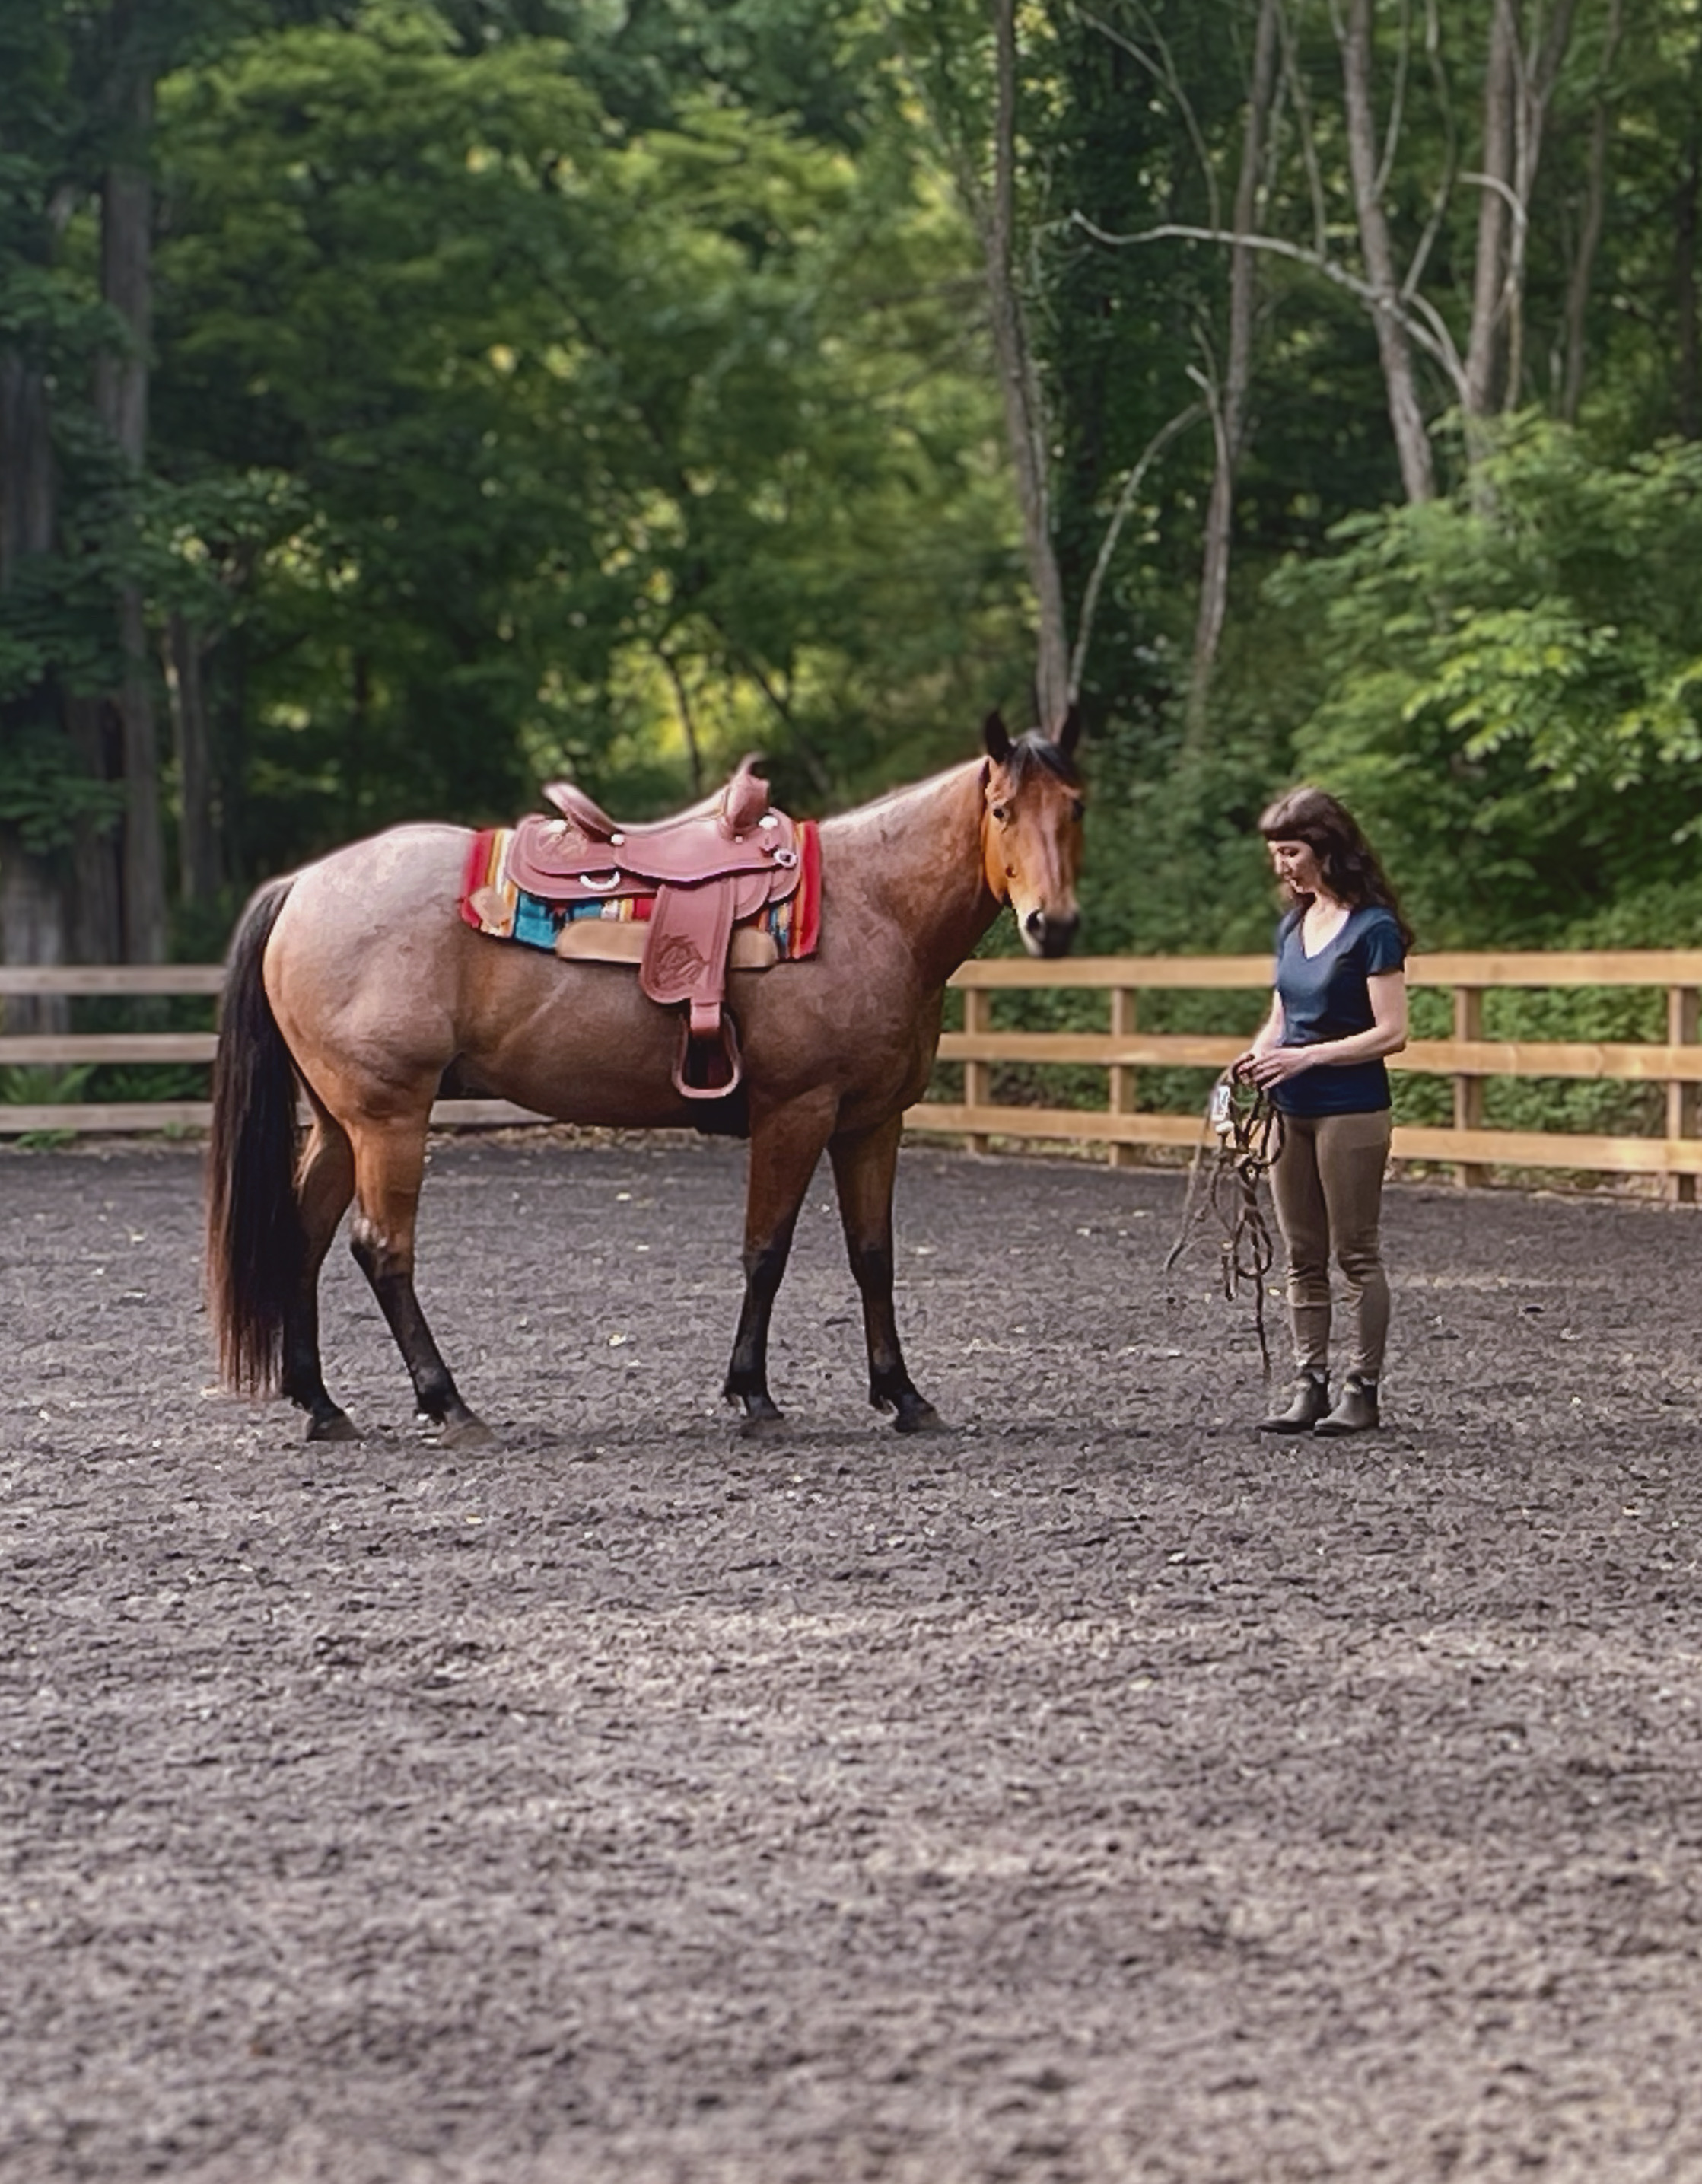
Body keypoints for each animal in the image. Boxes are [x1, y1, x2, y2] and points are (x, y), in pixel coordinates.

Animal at [206, 707, 1083, 1441]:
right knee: (382, 1248)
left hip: (339, 1122)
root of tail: (302, 887)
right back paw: (446, 1402)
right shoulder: (795, 1111)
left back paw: (322, 1405)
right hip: (388, 1117)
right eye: (1001, 811)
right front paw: (752, 1394)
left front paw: (903, 1395)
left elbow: (873, 1255)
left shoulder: (872, 1122)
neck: (868, 908)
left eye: (1075, 807)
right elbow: (765, 1250)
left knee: (305, 1238)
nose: (1054, 924)